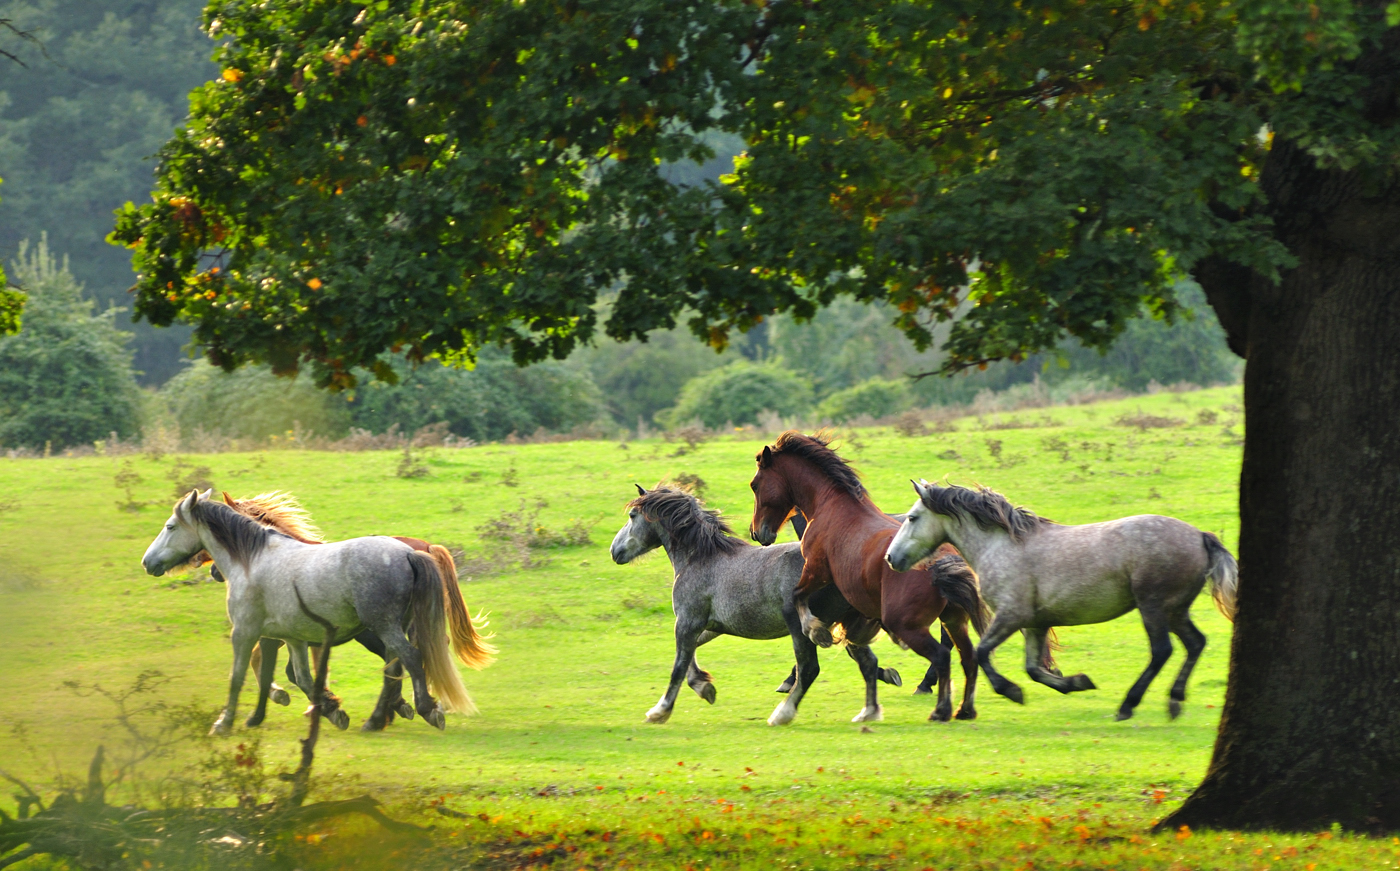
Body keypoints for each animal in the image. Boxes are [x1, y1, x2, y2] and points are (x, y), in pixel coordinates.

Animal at [142, 490, 494, 735]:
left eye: (170, 526)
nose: (147, 562)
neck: (251, 560)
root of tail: (411, 551)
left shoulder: (245, 632)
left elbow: (240, 676)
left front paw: (224, 723)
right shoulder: (291, 637)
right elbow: (300, 676)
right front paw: (331, 710)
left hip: (384, 627)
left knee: (410, 658)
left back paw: (424, 710)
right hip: (394, 627)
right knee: (397, 665)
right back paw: (383, 716)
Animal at [611, 485, 902, 726]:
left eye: (632, 515)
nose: (615, 551)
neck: (701, 558)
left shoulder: (687, 621)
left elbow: (678, 666)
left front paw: (660, 711)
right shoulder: (711, 625)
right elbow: (691, 655)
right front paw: (705, 687)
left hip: (801, 627)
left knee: (809, 669)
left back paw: (782, 714)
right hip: (842, 624)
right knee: (866, 662)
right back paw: (869, 712)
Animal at [749, 431, 989, 721]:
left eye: (755, 485)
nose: (756, 533)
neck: (832, 505)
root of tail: (942, 563)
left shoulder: (817, 569)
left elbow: (798, 598)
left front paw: (816, 631)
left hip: (908, 624)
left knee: (943, 655)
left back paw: (940, 708)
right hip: (953, 618)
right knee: (968, 656)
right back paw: (964, 709)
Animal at [885, 479, 1239, 720]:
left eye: (913, 518)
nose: (891, 558)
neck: (1001, 546)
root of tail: (1200, 536)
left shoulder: (1011, 616)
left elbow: (984, 653)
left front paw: (1012, 692)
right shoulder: (1035, 624)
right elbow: (1033, 668)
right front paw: (1077, 683)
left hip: (1153, 606)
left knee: (1162, 650)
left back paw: (1128, 705)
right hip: (1176, 609)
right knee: (1195, 643)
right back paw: (1174, 701)